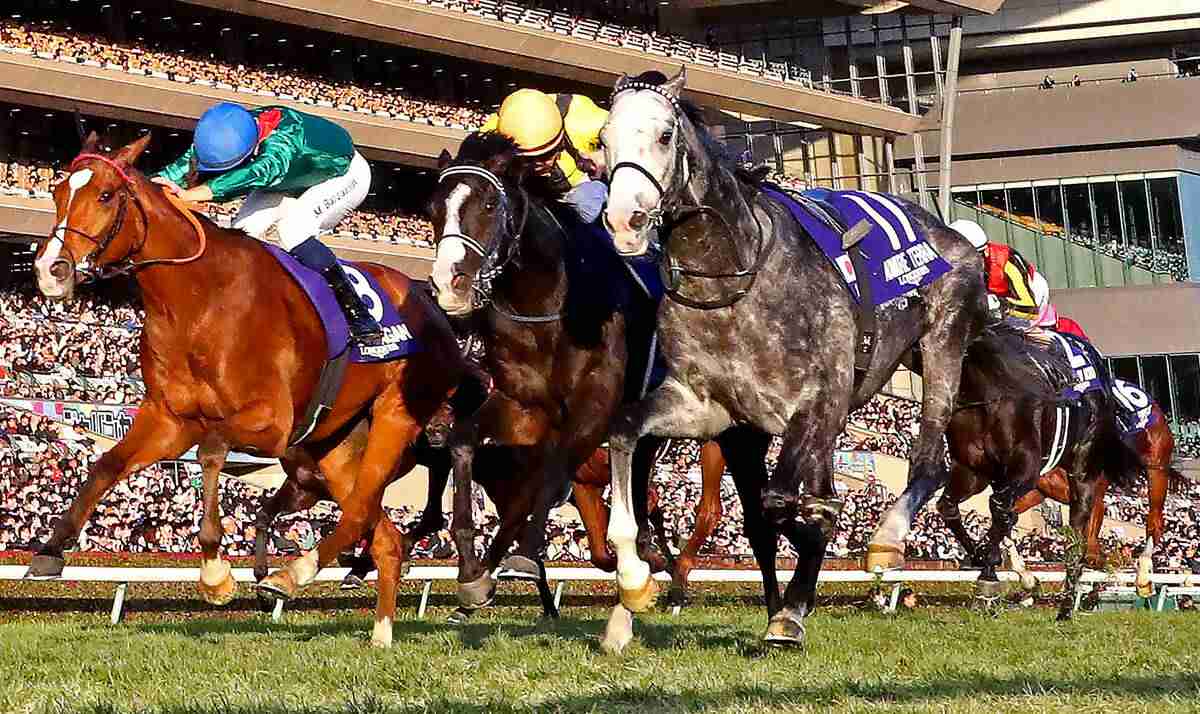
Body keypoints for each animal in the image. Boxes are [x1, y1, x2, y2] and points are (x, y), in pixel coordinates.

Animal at [29, 132, 464, 647]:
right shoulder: (169, 419)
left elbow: (212, 451)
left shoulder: (270, 423)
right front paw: (51, 549)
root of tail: (432, 305)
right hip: (336, 446)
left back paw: (292, 574)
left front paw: (216, 573)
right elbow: (106, 464)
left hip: (396, 416)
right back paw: (379, 633)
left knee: (360, 513)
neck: (197, 299)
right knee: (383, 536)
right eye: (58, 190)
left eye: (105, 195)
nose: (51, 270)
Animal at [597, 68, 1041, 649]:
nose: (624, 221)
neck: (735, 280)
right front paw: (634, 579)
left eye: (665, 135)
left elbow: (784, 503)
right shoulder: (705, 407)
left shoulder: (812, 403)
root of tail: (953, 234)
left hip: (942, 344)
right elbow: (627, 430)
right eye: (603, 140)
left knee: (928, 460)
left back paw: (888, 541)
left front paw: (792, 599)